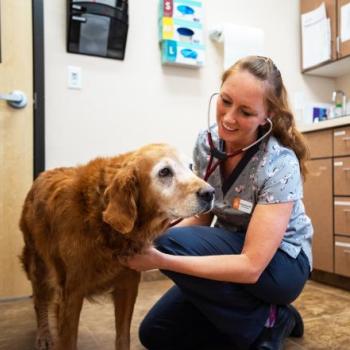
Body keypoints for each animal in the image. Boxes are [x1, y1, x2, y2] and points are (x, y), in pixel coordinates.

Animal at [20, 144, 215, 350]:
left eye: (191, 166)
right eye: (164, 172)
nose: (210, 193)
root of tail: (42, 175)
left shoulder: (128, 284)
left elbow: (123, 336)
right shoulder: (71, 293)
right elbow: (68, 341)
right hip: (38, 264)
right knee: (39, 301)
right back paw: (43, 334)